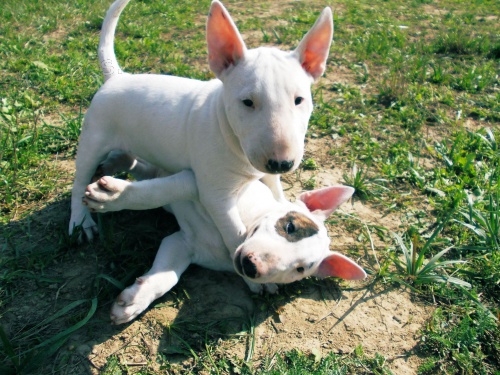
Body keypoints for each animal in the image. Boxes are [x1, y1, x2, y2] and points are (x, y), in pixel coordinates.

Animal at [68, 0, 334, 256]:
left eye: (299, 100)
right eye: (247, 102)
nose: (281, 164)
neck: (230, 135)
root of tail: (117, 76)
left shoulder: (265, 173)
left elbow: (276, 192)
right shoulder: (215, 194)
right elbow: (234, 233)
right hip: (93, 137)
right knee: (80, 180)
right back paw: (81, 222)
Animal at [83, 151, 368, 324]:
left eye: (300, 269)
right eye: (289, 227)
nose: (251, 267)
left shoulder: (182, 244)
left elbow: (167, 277)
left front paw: (133, 302)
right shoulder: (198, 184)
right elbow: (156, 193)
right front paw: (111, 198)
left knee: (143, 170)